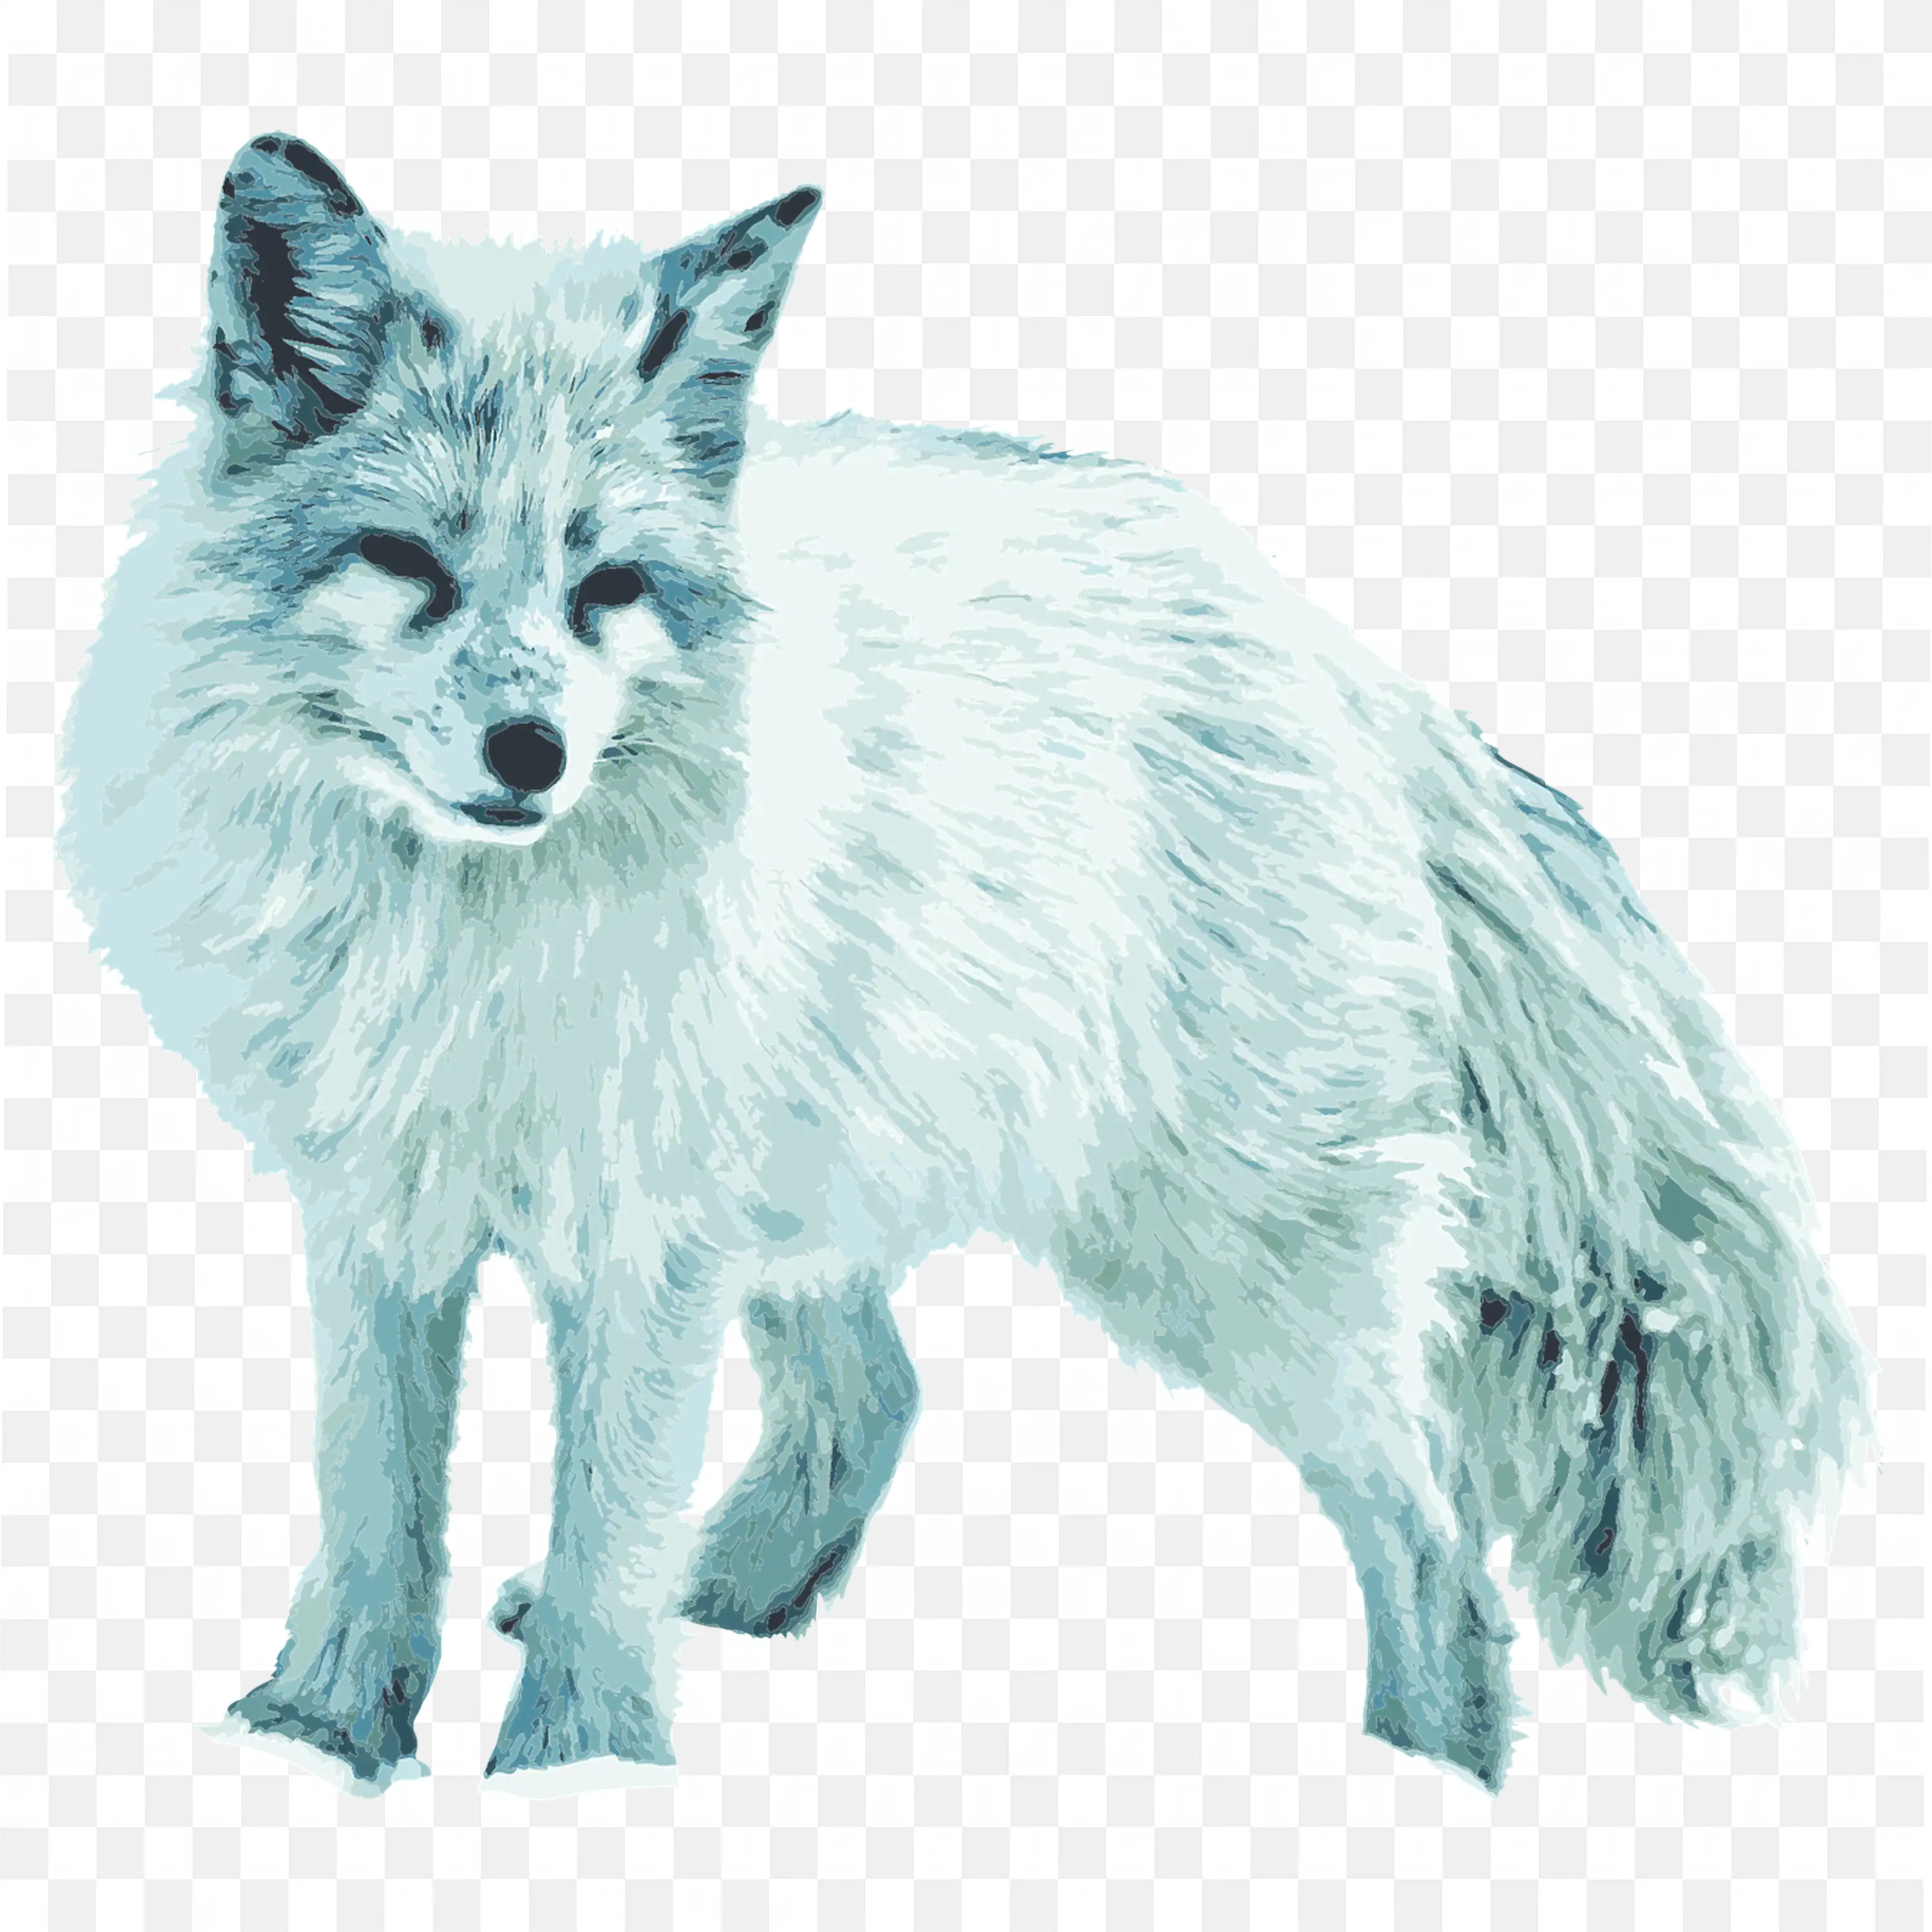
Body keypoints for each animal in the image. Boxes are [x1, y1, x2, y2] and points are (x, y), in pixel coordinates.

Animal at [56, 135, 1876, 1801]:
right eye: (409, 566)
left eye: (606, 587)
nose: (531, 755)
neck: (462, 939)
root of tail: (1327, 651)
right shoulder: (381, 1212)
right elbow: (378, 1512)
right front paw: (323, 1746)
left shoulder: (646, 1242)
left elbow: (603, 1534)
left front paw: (574, 1782)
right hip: (830, 1194)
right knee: (878, 1399)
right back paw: (739, 1602)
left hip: (1218, 1258)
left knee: (1437, 1544)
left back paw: (1431, 1790)